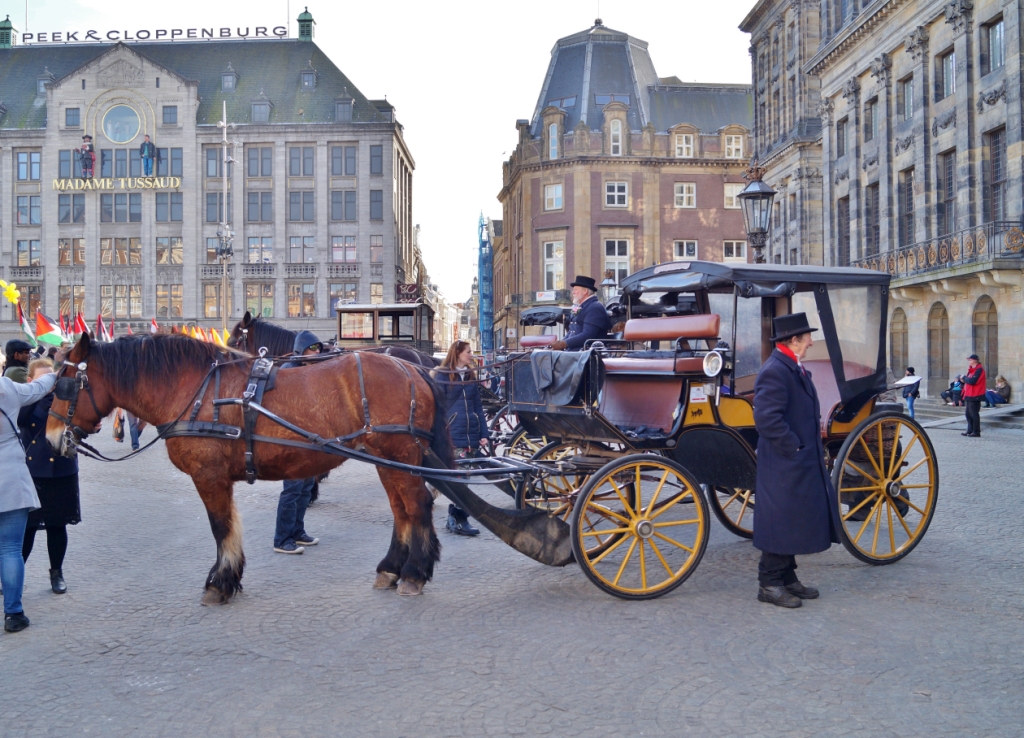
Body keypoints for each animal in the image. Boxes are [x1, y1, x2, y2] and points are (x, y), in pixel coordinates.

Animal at [44, 331, 452, 601]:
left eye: (64, 385)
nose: (50, 436)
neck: (196, 391)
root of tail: (414, 370)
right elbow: (226, 525)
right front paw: (227, 577)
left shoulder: (208, 475)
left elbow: (221, 526)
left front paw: (220, 581)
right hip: (388, 460)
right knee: (401, 509)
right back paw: (391, 568)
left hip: (398, 456)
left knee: (417, 505)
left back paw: (414, 573)